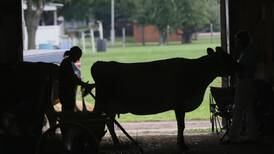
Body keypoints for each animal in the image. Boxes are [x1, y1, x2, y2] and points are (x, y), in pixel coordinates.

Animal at [91, 47, 237, 150]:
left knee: (108, 122)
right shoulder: (180, 105)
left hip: (110, 107)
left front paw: (180, 143)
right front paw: (182, 145)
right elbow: (181, 126)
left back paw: (116, 143)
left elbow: (180, 126)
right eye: (227, 58)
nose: (239, 66)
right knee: (98, 120)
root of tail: (100, 63)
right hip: (101, 103)